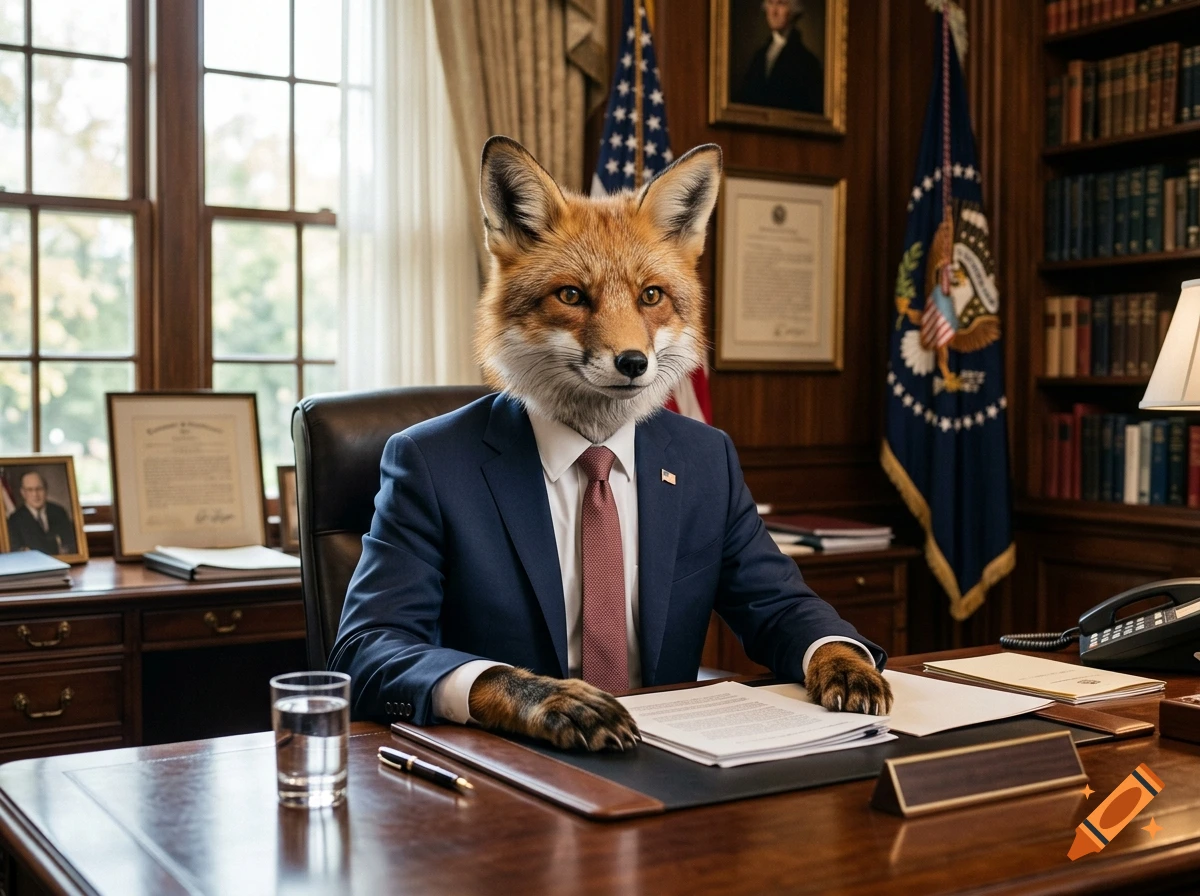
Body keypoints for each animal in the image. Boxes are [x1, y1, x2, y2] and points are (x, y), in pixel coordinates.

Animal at [463, 136, 892, 751]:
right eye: (571, 295)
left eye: (651, 295)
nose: (633, 362)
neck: (594, 446)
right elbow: (486, 669)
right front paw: (561, 699)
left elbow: (815, 624)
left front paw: (850, 669)